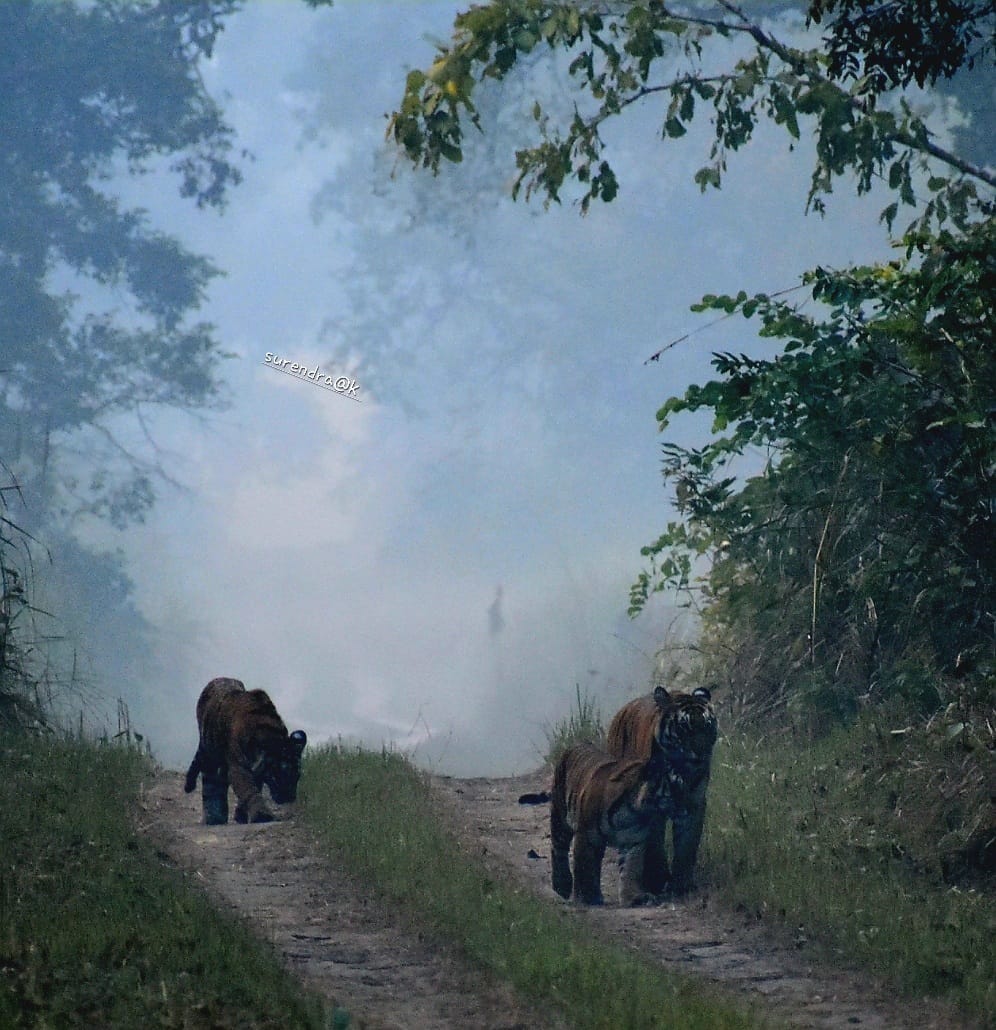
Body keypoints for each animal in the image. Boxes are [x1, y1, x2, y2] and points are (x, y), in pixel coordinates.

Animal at [183, 677, 307, 825]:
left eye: (297, 775)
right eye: (277, 776)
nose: (290, 798)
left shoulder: (258, 769)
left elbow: (254, 788)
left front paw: (241, 816)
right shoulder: (238, 767)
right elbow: (249, 790)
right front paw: (262, 816)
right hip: (209, 749)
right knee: (209, 778)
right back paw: (211, 813)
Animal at [518, 740, 680, 906]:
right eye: (672, 792)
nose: (685, 808)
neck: (632, 813)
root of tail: (576, 744)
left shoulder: (634, 841)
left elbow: (631, 868)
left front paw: (633, 897)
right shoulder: (586, 836)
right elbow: (584, 866)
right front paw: (586, 897)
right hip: (560, 818)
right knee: (558, 850)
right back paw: (561, 885)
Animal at [606, 684, 717, 898]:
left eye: (707, 726)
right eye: (684, 727)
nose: (700, 753)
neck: (682, 770)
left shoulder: (695, 803)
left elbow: (687, 846)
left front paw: (682, 884)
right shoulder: (651, 806)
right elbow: (655, 845)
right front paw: (657, 879)